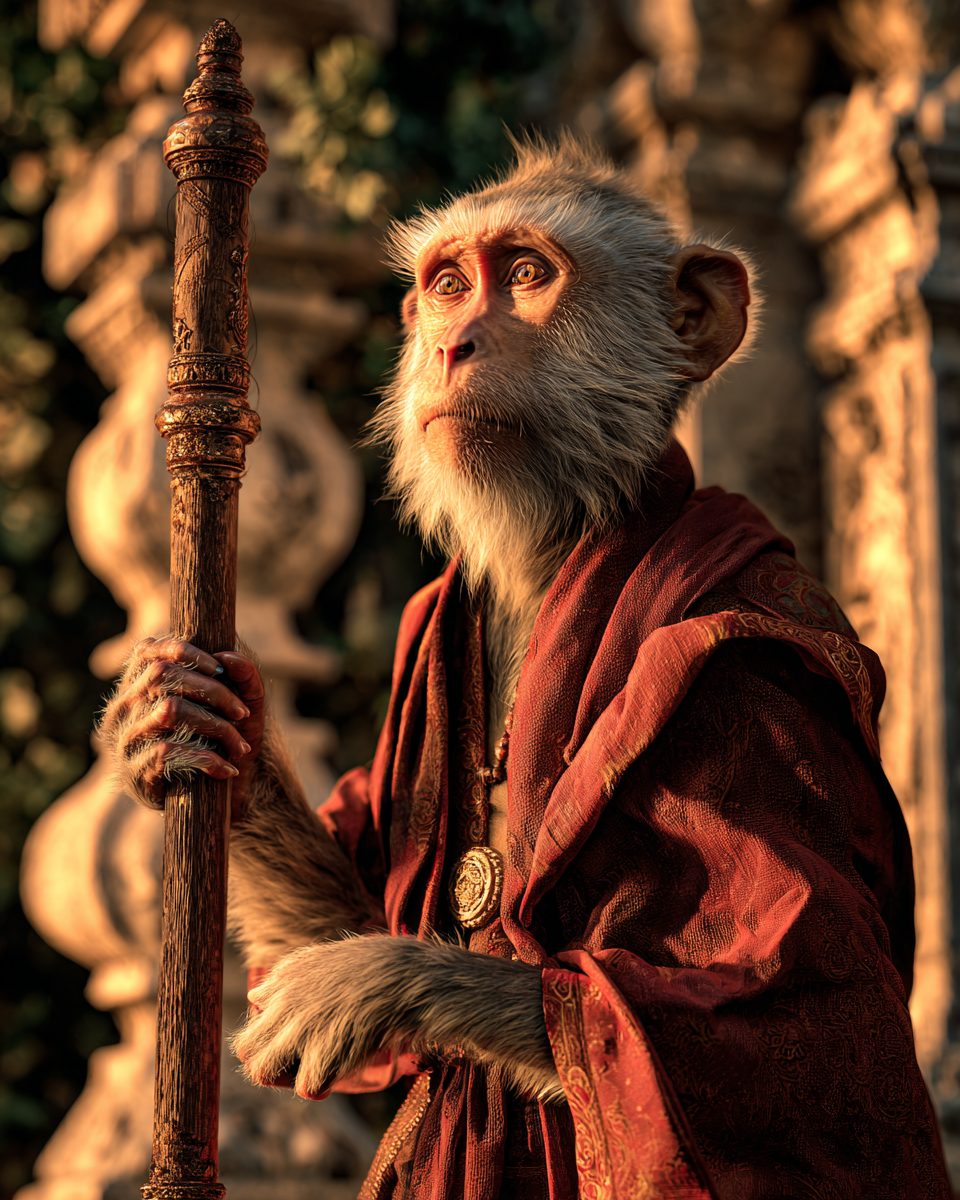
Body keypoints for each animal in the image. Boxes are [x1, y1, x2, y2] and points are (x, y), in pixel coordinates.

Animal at [101, 136, 950, 1199]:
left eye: (528, 276)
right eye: (450, 286)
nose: (456, 344)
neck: (556, 542)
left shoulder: (762, 697)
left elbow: (796, 1024)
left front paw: (372, 984)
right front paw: (198, 724)